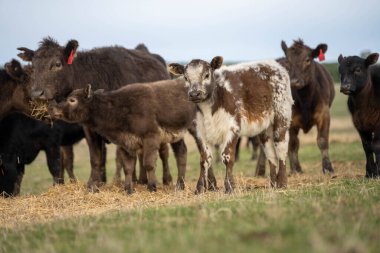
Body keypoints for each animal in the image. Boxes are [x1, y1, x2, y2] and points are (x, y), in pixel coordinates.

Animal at [170, 56, 294, 193]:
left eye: (207, 75)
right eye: (186, 77)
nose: (194, 94)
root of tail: (274, 65)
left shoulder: (233, 128)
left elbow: (227, 157)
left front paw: (229, 186)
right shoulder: (200, 131)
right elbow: (204, 159)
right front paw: (199, 188)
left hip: (281, 116)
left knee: (281, 149)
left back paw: (282, 183)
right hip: (265, 128)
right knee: (270, 154)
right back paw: (273, 184)